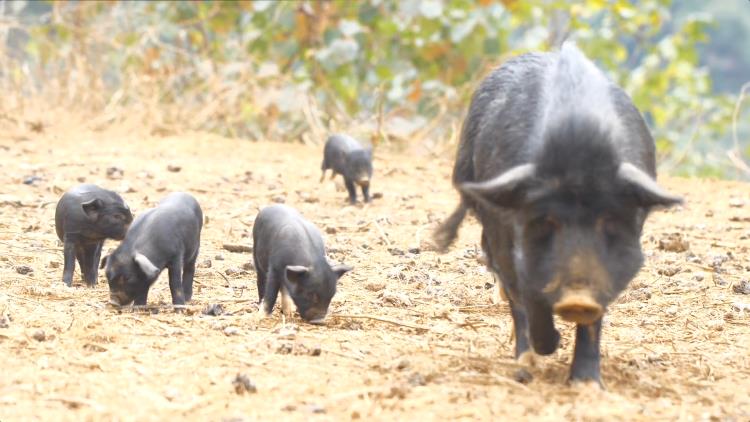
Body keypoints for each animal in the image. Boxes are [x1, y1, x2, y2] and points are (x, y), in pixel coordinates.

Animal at [432, 43, 684, 386]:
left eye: (609, 220)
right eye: (546, 220)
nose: (578, 299)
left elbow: (594, 322)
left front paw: (587, 385)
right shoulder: (516, 246)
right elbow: (527, 294)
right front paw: (547, 350)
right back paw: (525, 361)